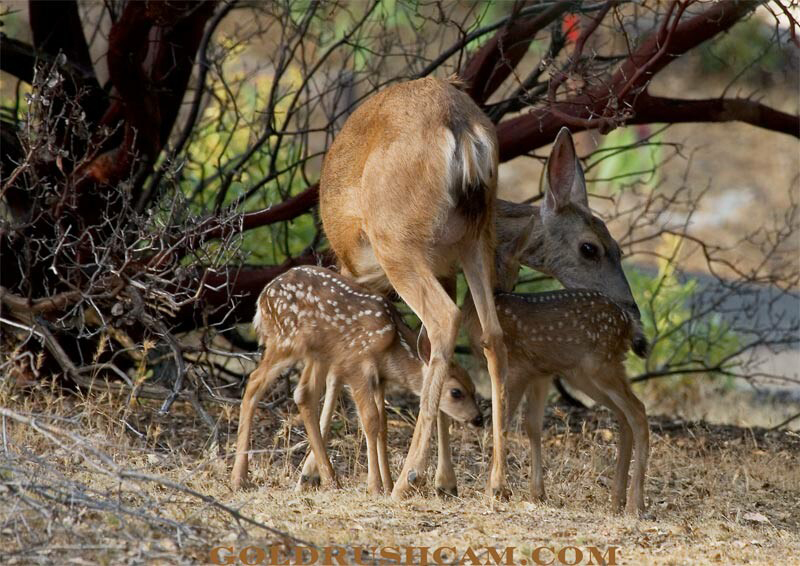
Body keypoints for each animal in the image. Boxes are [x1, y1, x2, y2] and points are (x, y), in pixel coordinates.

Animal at [230, 265, 483, 495]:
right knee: (254, 383)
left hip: (317, 353)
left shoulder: (380, 378)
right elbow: (370, 420)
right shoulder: (356, 364)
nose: (478, 419)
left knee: (303, 394)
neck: (392, 347)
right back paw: (239, 477)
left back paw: (330, 479)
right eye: (456, 392)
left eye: (473, 388)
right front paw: (375, 487)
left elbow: (383, 426)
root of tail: (262, 299)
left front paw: (388, 484)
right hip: (286, 340)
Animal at [319, 75, 642, 500]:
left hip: (399, 243)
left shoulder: (354, 269)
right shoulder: (447, 269)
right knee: (490, 335)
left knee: (444, 320)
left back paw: (406, 479)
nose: (633, 312)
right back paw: (497, 482)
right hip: (470, 241)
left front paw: (323, 472)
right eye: (592, 248)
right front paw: (445, 480)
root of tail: (463, 131)